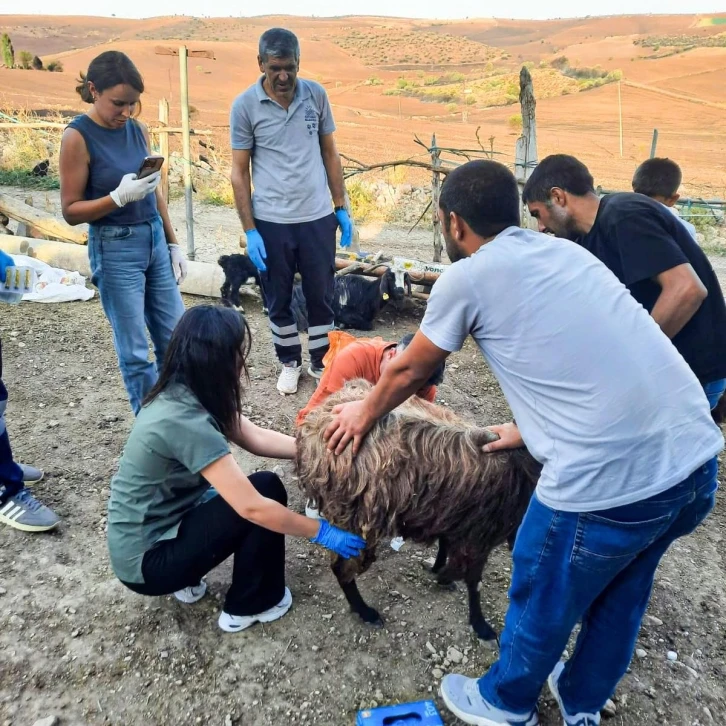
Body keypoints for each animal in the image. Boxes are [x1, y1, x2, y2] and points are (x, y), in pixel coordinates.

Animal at [298, 382, 544, 644]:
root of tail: (314, 425)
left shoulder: (454, 516)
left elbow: (446, 545)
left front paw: (438, 571)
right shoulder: (479, 536)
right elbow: (473, 580)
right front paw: (480, 625)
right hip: (354, 516)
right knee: (341, 566)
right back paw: (366, 612)